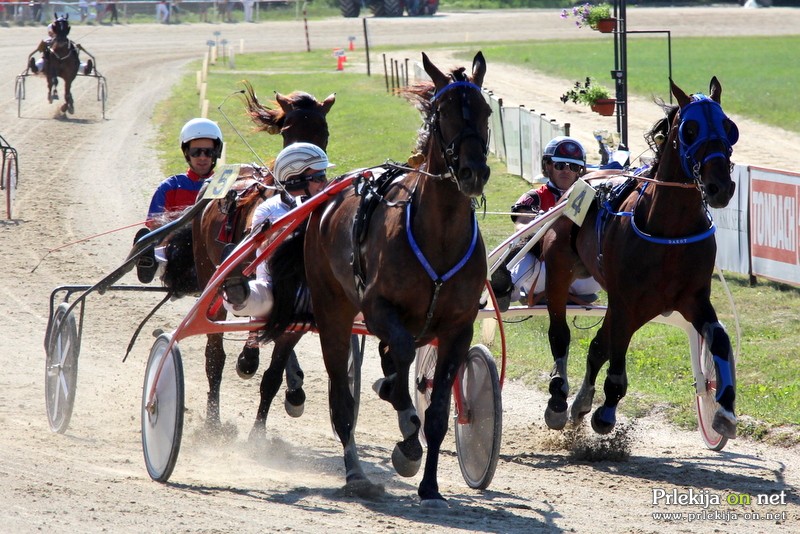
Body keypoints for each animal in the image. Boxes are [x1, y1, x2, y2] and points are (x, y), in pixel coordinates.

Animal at [262, 52, 490, 508]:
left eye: (486, 111)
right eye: (443, 113)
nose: (473, 171)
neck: (438, 236)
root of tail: (324, 198)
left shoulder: (458, 327)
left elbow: (438, 413)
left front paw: (430, 484)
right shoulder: (378, 309)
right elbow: (399, 355)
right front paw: (405, 432)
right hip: (331, 311)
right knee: (341, 400)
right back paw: (356, 473)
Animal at [540, 77, 740, 442]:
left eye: (729, 127)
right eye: (690, 129)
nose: (720, 187)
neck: (670, 230)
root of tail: (582, 180)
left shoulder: (693, 299)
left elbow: (718, 339)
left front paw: (724, 411)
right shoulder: (627, 301)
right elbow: (616, 363)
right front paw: (605, 413)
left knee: (597, 347)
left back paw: (580, 403)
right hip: (560, 268)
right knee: (561, 333)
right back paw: (560, 400)